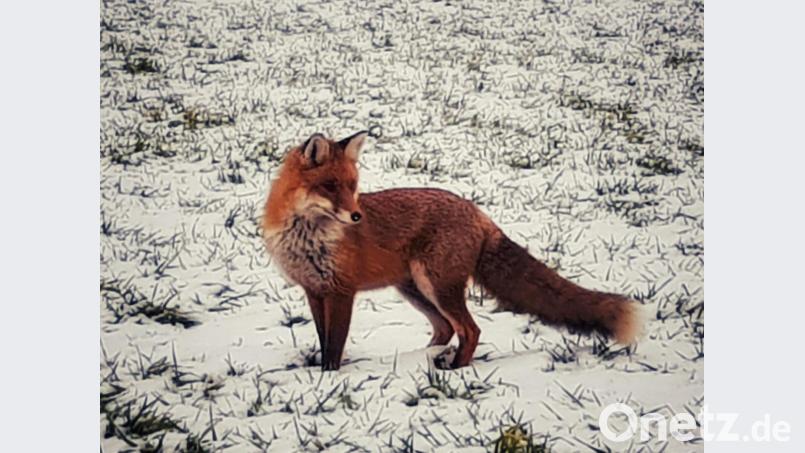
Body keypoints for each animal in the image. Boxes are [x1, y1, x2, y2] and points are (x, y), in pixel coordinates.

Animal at [262, 131, 640, 371]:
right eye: (330, 186)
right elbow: (324, 339)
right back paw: (424, 357)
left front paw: (329, 379)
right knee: (446, 329)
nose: (357, 216)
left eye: (353, 187)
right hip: (415, 289)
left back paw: (456, 368)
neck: (308, 235)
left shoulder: (342, 291)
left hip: (436, 286)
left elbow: (335, 347)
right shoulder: (314, 291)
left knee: (469, 330)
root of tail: (478, 212)